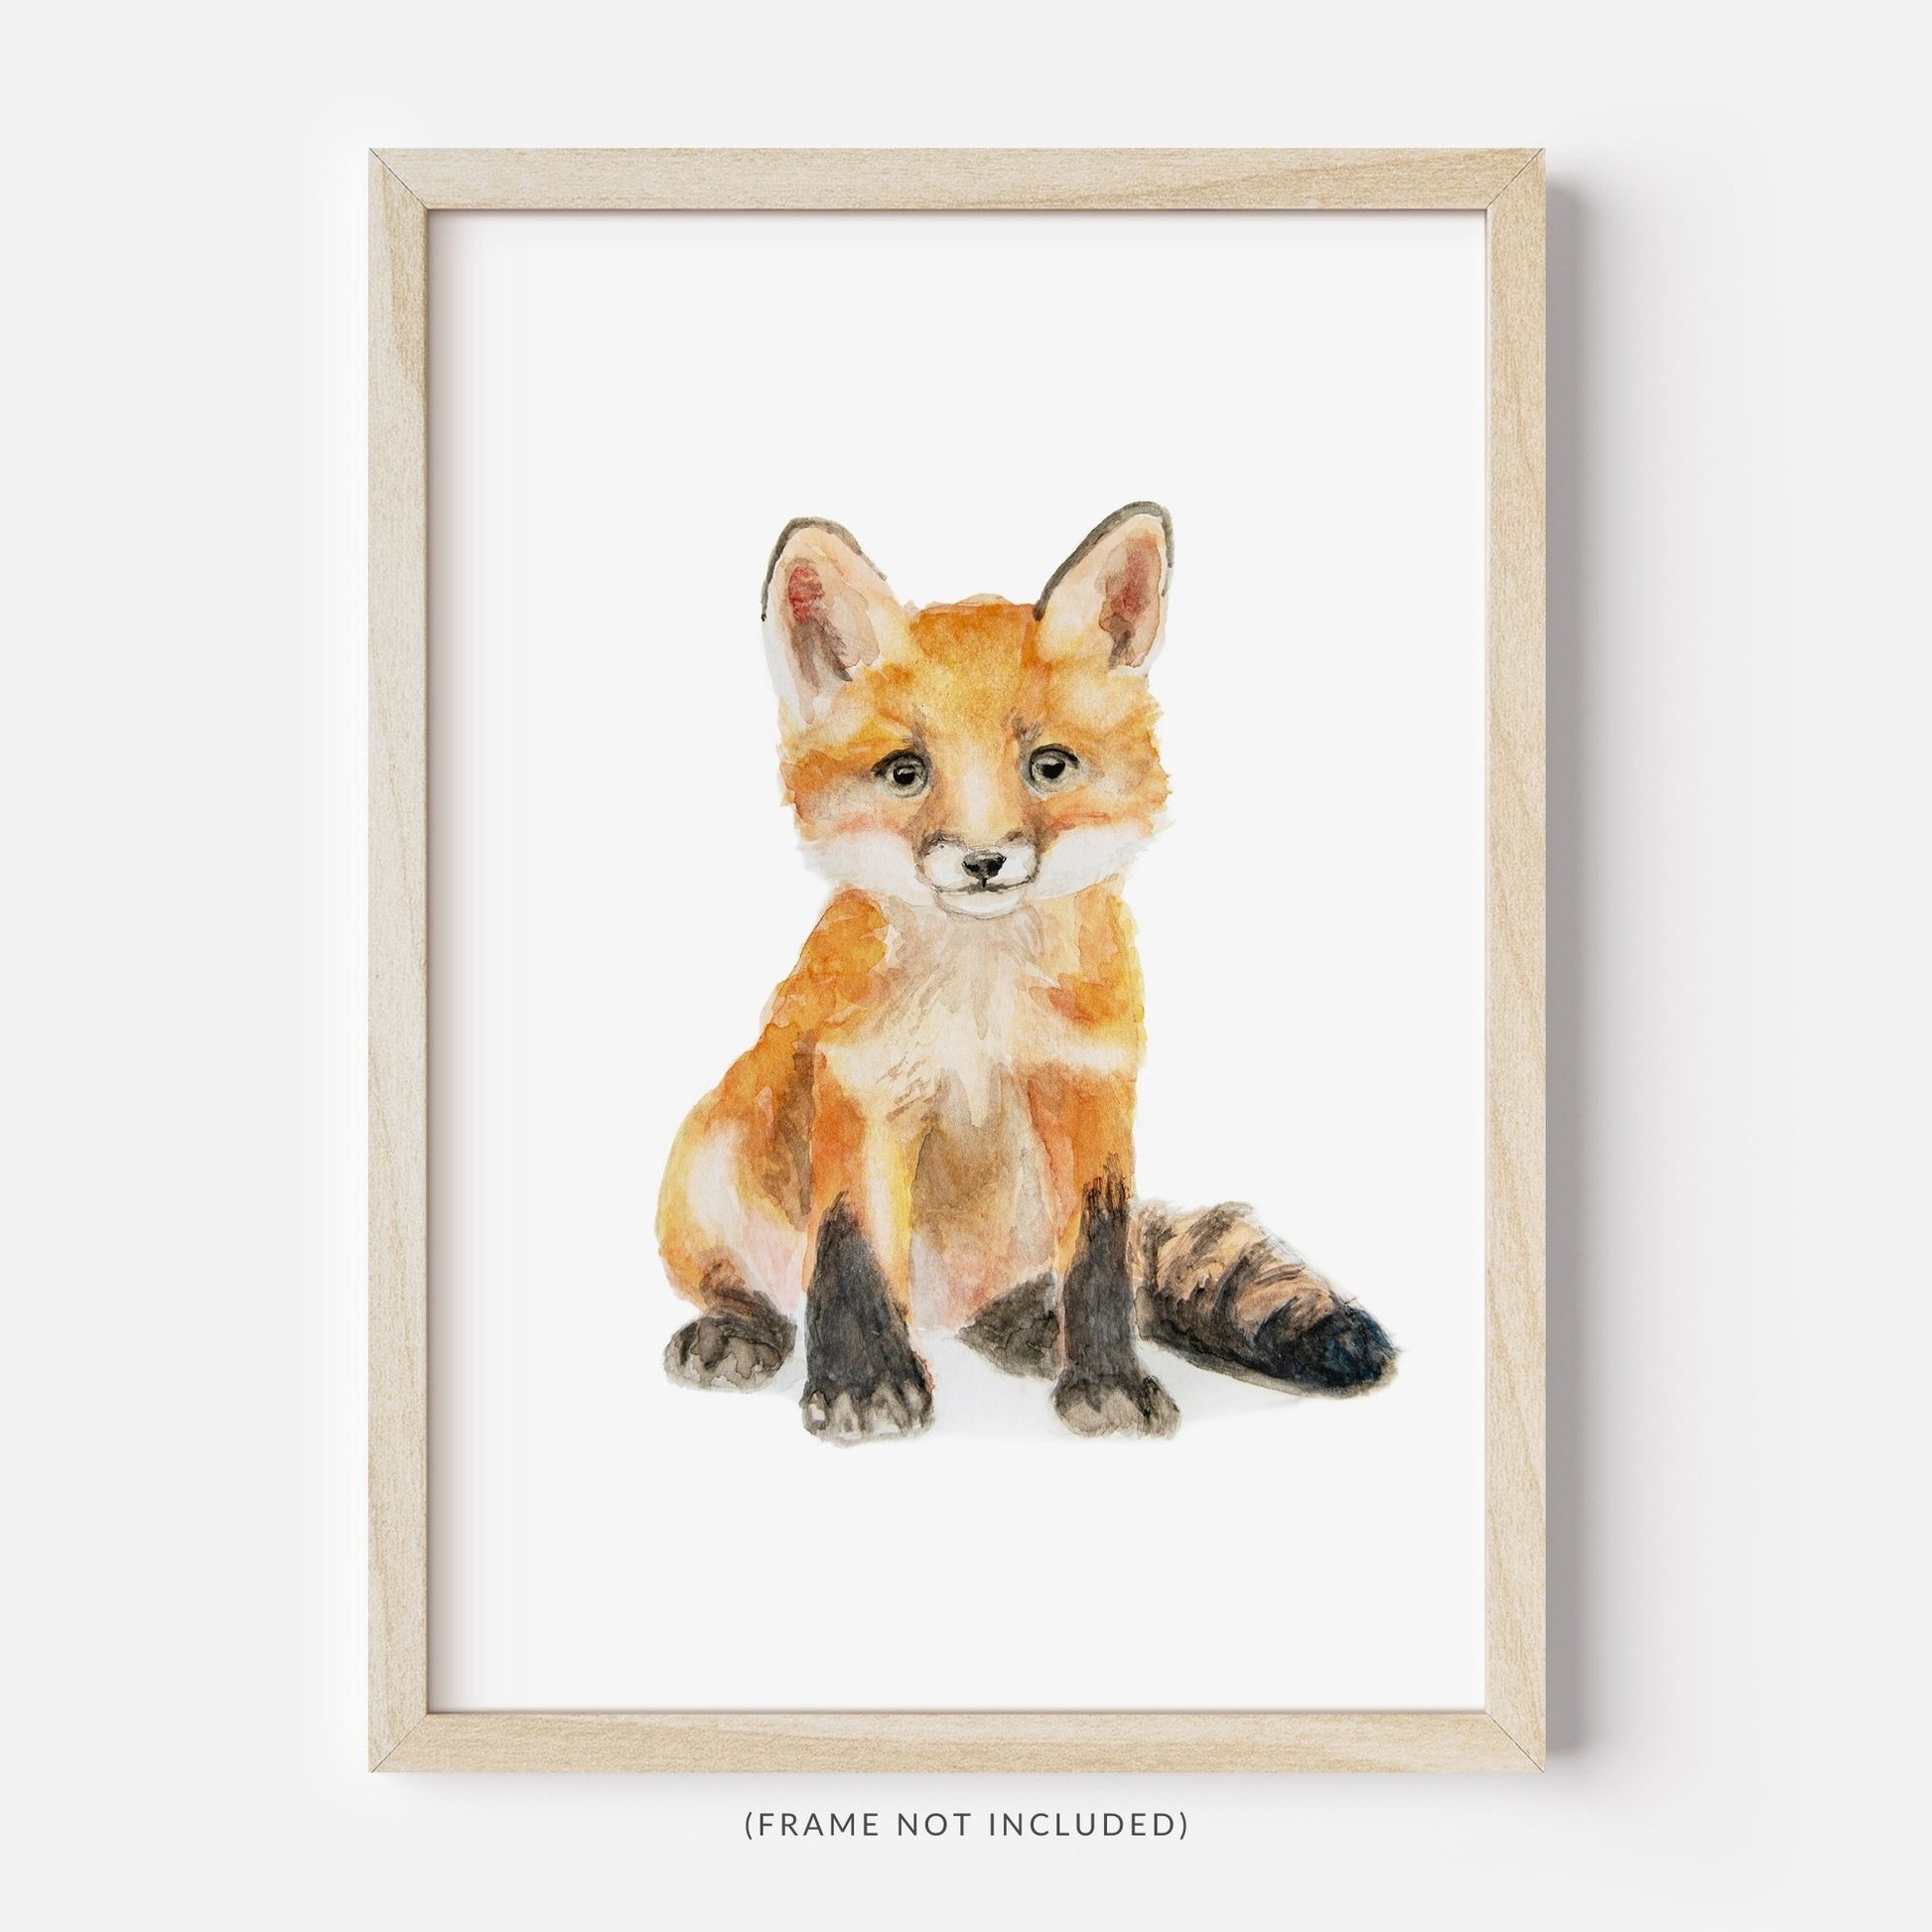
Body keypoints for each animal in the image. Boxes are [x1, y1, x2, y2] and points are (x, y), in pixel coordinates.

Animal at [657, 503, 1397, 1442]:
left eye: (1049, 766)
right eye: (905, 772)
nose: (984, 862)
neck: (982, 1012)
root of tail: (940, 1309)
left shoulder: (1092, 1086)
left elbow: (1101, 1258)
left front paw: (1107, 1379)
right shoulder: (865, 1088)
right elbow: (851, 1251)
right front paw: (863, 1385)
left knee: (1015, 1293)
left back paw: (1031, 1328)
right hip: (709, 1158)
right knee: (760, 1288)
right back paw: (739, 1328)